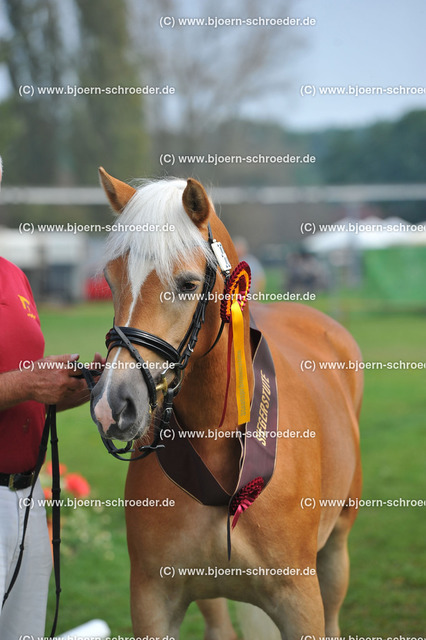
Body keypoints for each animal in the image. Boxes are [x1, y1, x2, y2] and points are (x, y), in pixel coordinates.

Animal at [90, 170, 362, 640]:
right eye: (110, 279)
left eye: (187, 285)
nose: (113, 406)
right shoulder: (152, 600)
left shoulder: (300, 602)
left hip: (336, 552)